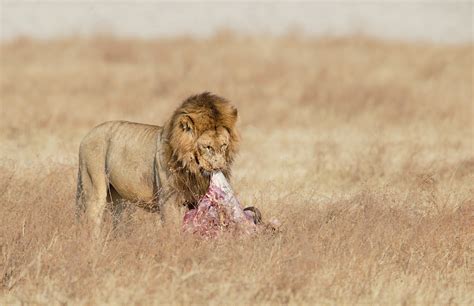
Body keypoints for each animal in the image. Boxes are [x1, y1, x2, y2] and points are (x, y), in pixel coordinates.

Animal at [78, 92, 241, 235]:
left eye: (224, 145)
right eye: (208, 147)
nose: (219, 167)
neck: (191, 169)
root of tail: (87, 135)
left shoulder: (195, 200)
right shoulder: (168, 200)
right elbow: (172, 229)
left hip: (117, 197)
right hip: (93, 187)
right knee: (91, 220)